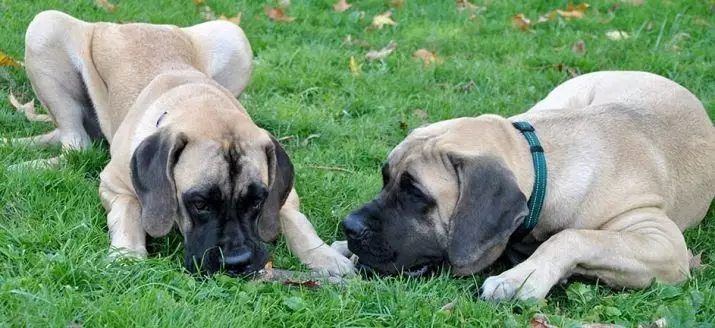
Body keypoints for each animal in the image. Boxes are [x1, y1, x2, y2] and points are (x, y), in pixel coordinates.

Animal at [2, 10, 356, 276]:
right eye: (199, 203)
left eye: (256, 201)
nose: (238, 262)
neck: (198, 101)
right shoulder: (115, 184)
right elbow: (129, 212)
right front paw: (127, 253)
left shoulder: (283, 190)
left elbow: (295, 219)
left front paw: (323, 255)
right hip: (45, 26)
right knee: (76, 146)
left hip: (234, 37)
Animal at [342, 71, 715, 300]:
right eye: (386, 178)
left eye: (415, 192)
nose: (349, 226)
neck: (545, 170)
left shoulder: (664, 243)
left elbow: (573, 236)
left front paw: (520, 278)